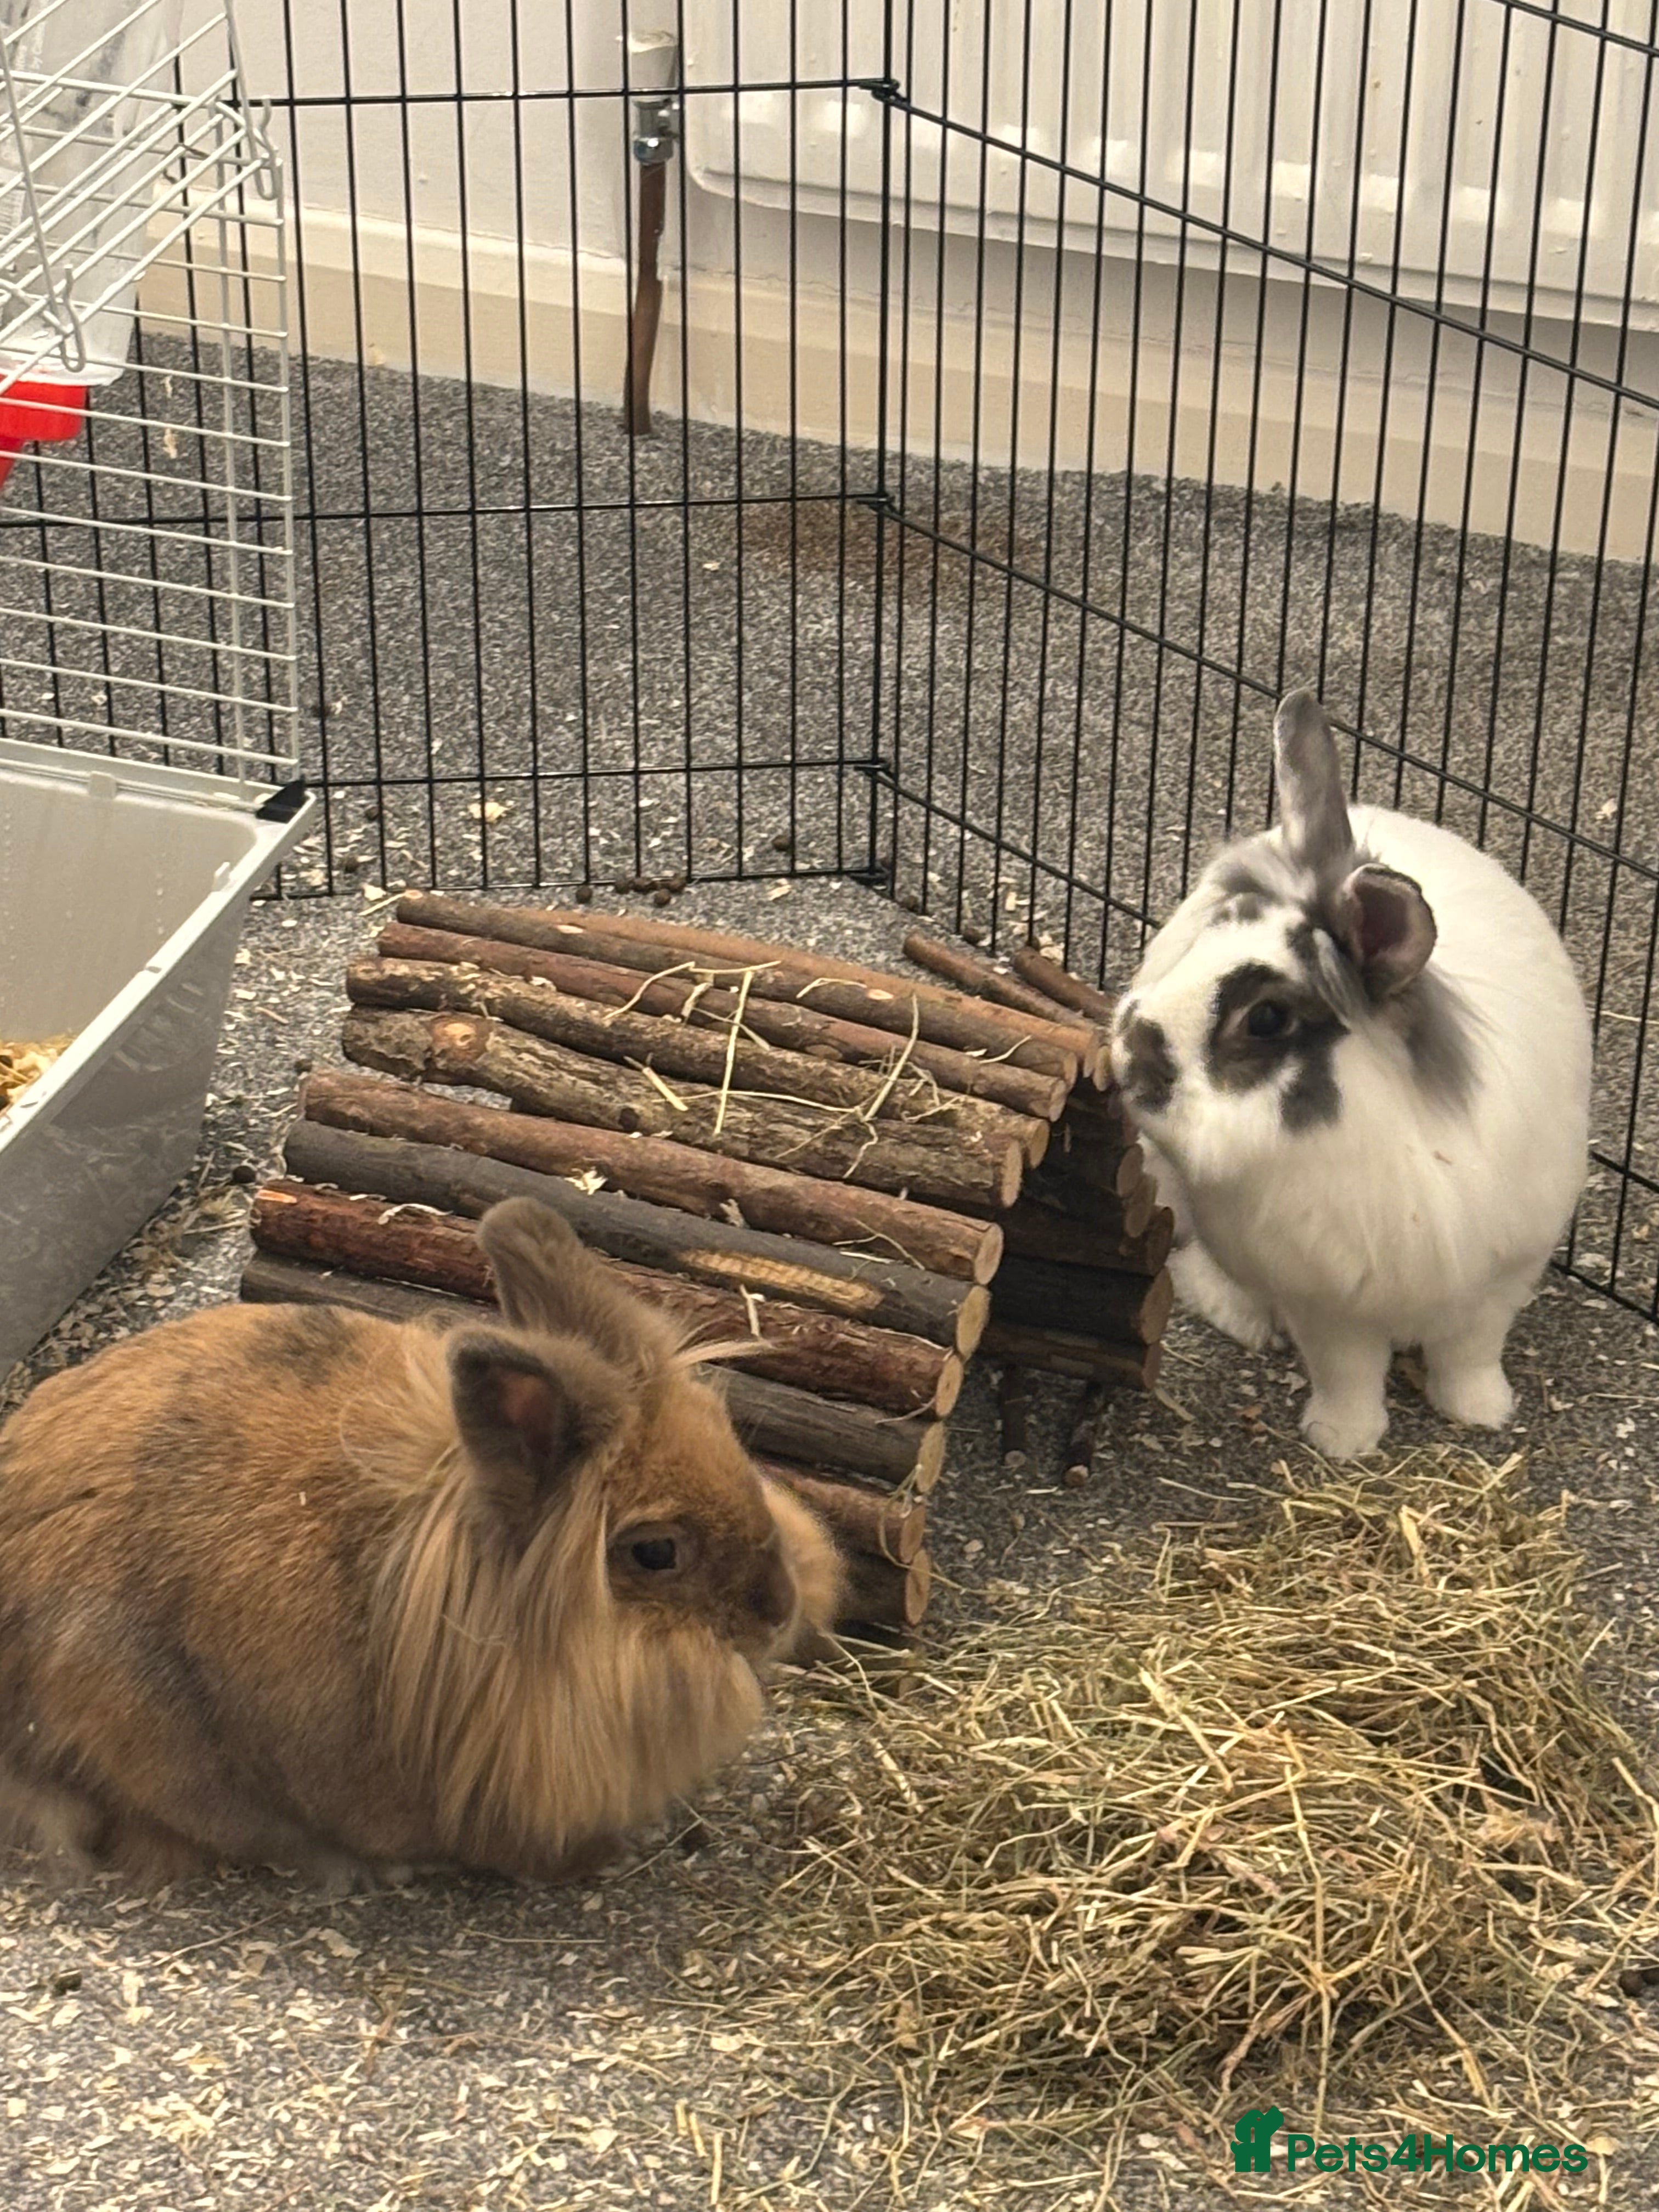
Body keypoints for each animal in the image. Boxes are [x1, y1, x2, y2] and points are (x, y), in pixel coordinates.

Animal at [1110, 688, 1592, 1462]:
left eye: (1267, 1018)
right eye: (1218, 928)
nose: (1127, 1052)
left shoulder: (1496, 1283)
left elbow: (1470, 1355)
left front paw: (1482, 1413)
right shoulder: (1327, 1303)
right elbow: (1348, 1371)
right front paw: (1344, 1441)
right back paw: (1242, 1317)